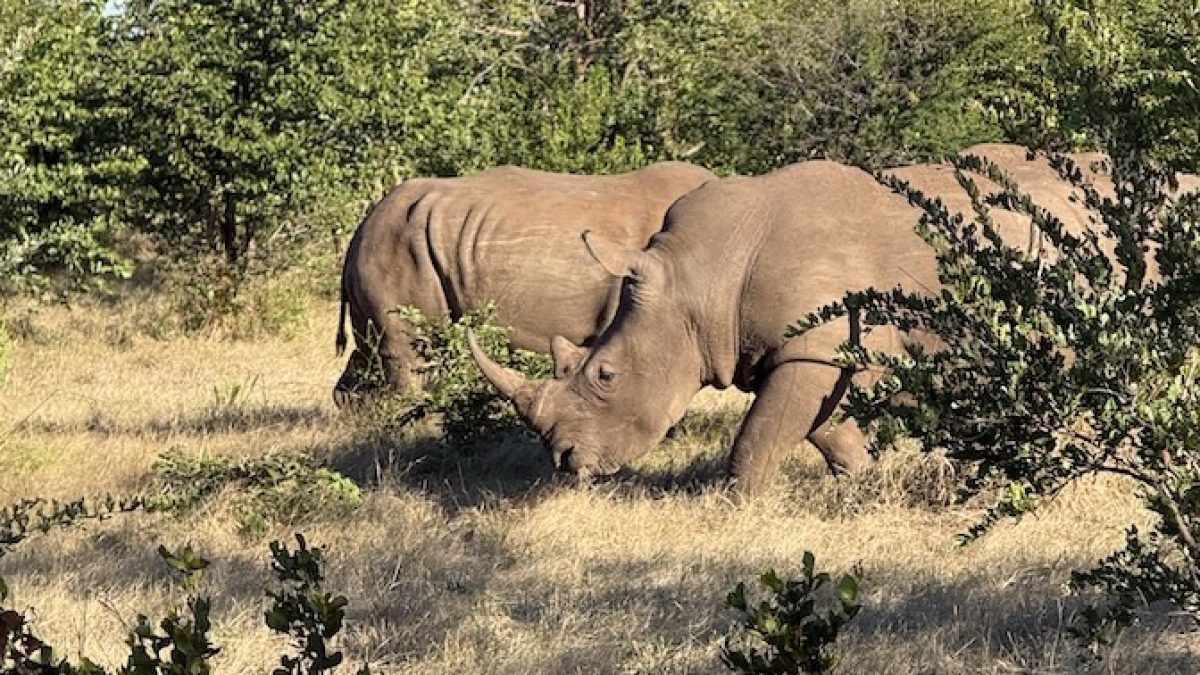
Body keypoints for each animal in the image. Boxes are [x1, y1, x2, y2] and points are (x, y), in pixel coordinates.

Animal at [467, 144, 1131, 493]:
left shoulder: (811, 345)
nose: (564, 463)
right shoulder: (808, 349)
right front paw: (861, 486)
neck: (700, 276)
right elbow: (824, 430)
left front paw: (735, 506)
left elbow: (759, 437)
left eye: (605, 375)